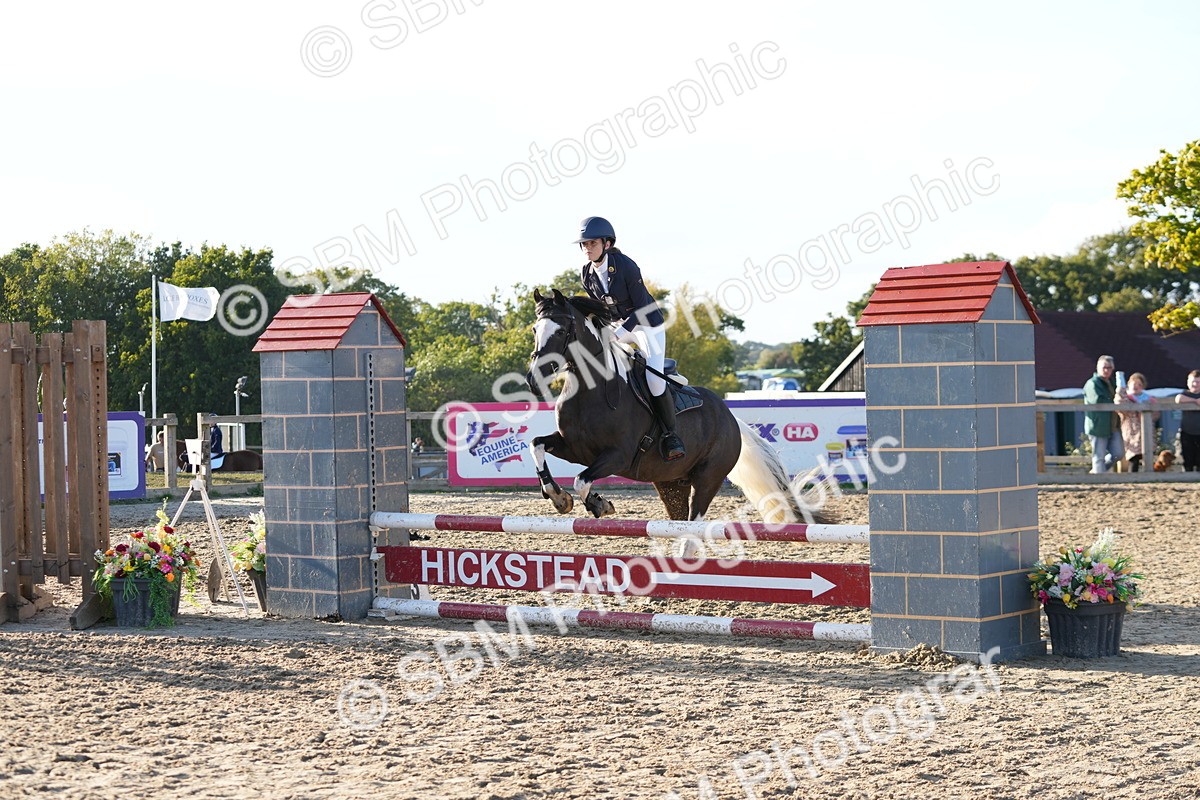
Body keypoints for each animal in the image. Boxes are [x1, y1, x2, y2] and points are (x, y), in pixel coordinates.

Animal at [525, 289, 829, 524]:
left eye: (561, 330)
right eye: (535, 329)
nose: (532, 379)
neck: (593, 389)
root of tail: (731, 418)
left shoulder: (617, 456)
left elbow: (582, 480)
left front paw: (599, 504)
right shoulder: (574, 447)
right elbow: (536, 445)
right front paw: (558, 497)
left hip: (707, 479)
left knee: (694, 520)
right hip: (671, 481)